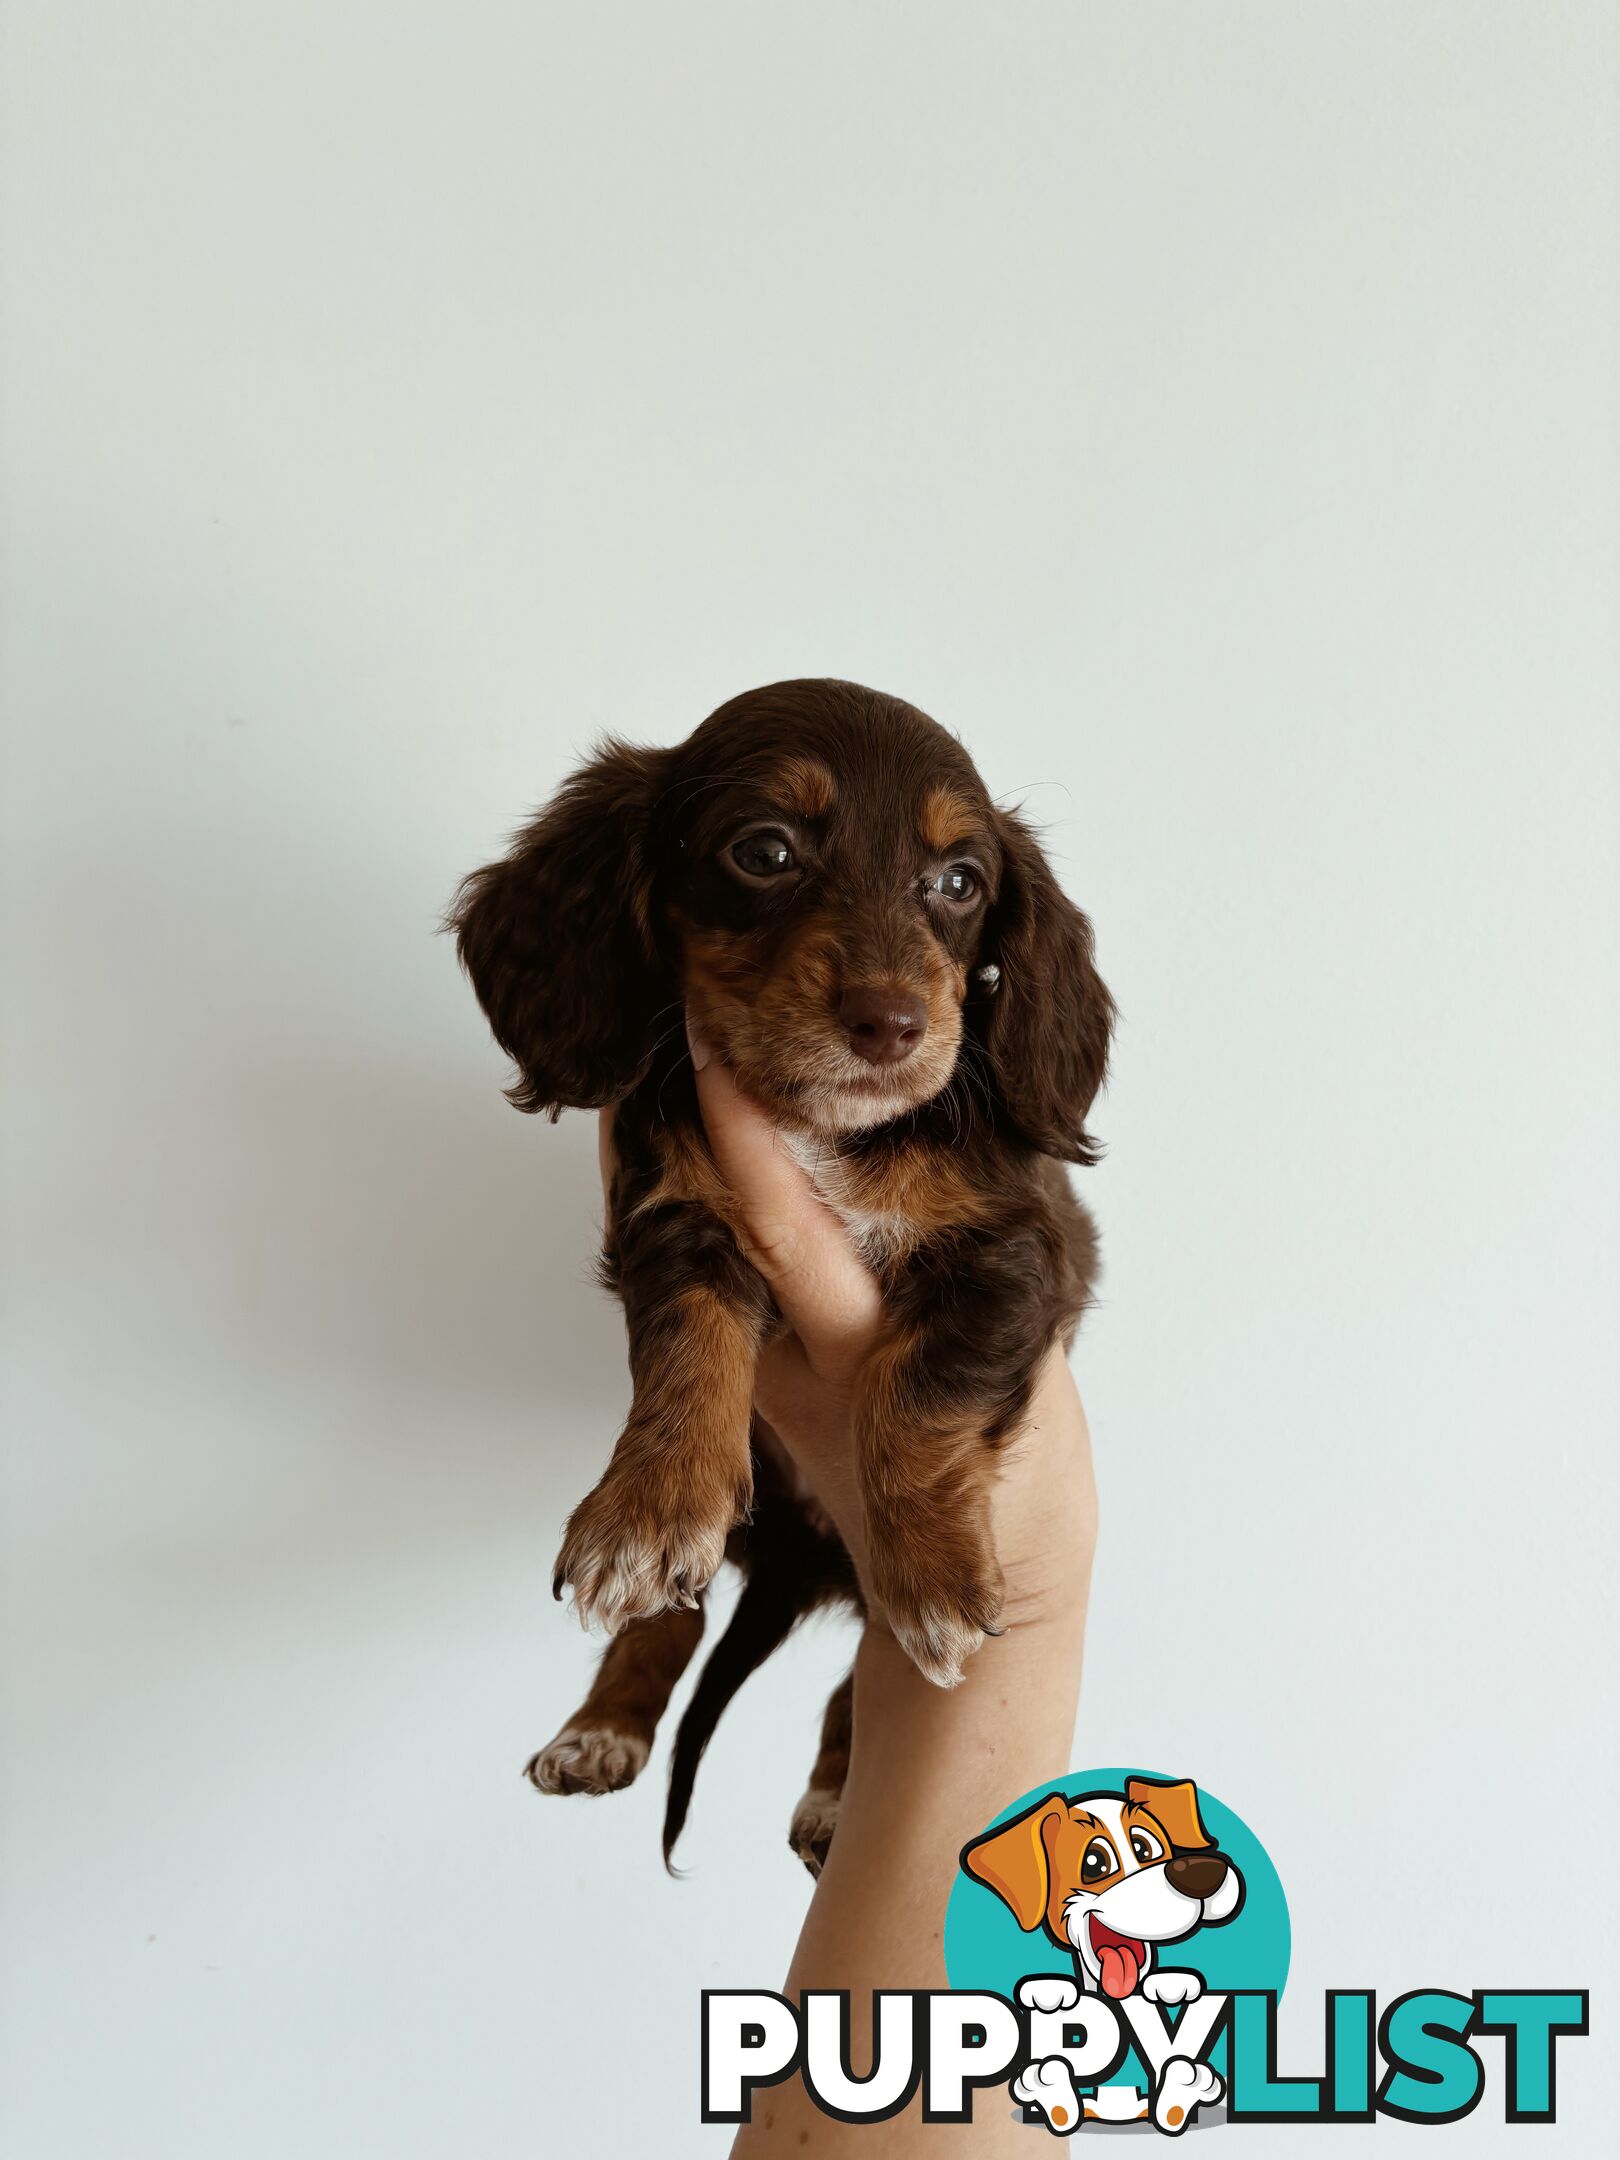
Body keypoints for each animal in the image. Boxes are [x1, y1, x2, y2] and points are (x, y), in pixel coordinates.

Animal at [457, 678, 1114, 1874]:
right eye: (763, 852)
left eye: (960, 882)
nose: (891, 1024)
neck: (823, 1130)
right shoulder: (672, 1208)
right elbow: (692, 1337)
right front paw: (649, 1502)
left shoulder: (1015, 1255)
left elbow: (915, 1392)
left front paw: (935, 1572)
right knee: (674, 1613)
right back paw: (600, 1729)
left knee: (860, 1679)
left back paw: (831, 1794)